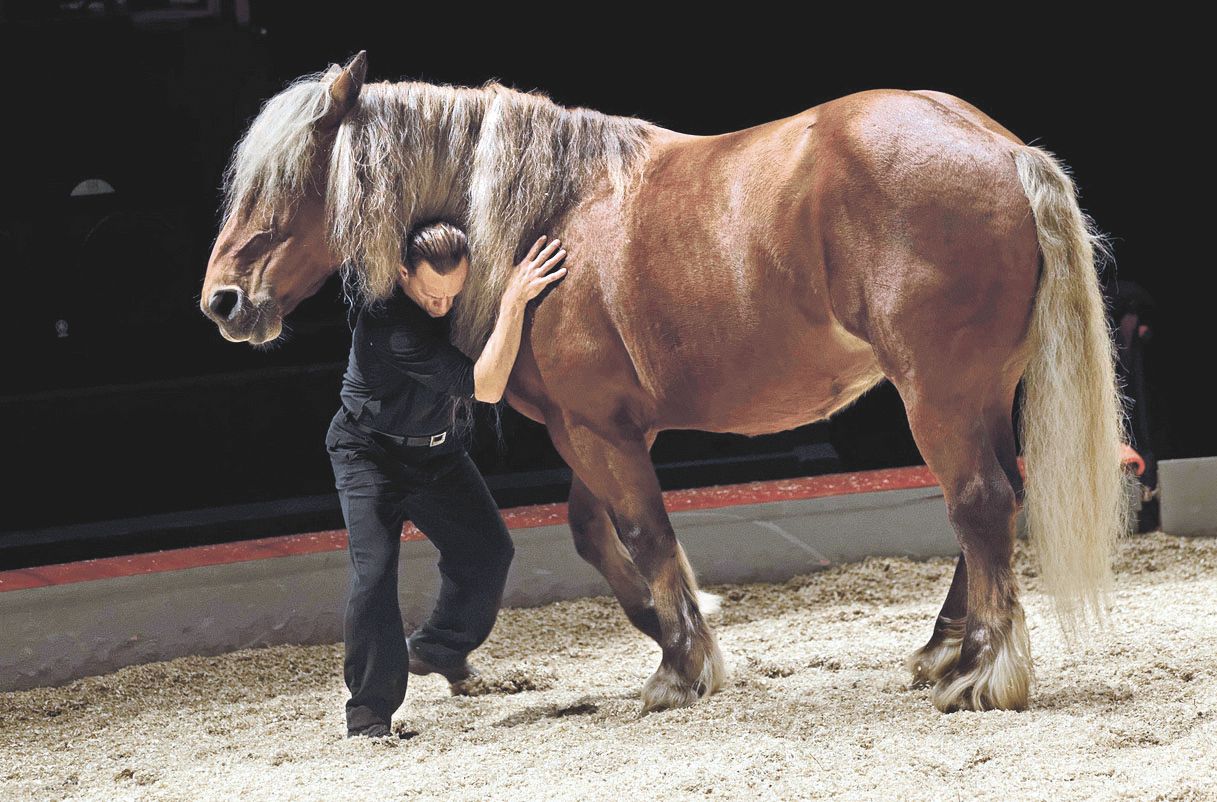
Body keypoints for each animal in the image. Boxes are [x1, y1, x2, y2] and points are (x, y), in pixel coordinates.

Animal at [197, 53, 1119, 710]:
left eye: (289, 179)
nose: (222, 300)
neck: (550, 212)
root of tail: (1001, 149)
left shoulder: (595, 430)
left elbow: (641, 533)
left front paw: (680, 666)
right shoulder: (595, 427)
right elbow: (593, 536)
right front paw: (689, 629)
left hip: (937, 393)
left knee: (978, 503)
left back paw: (981, 673)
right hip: (978, 392)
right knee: (996, 499)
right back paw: (942, 650)